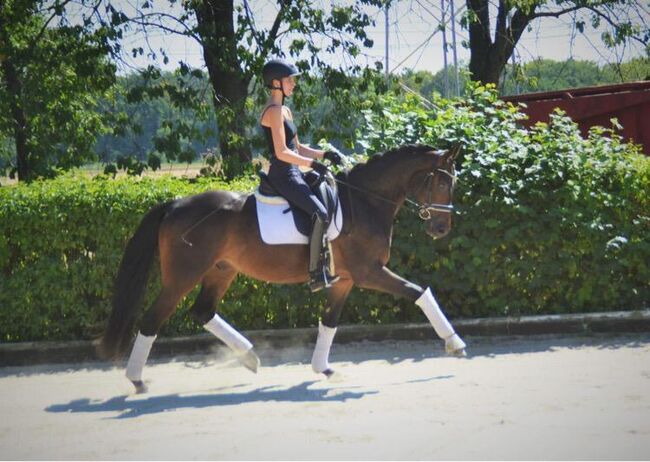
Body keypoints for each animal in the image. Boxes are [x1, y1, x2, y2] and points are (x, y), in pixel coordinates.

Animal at [97, 144, 466, 394]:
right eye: (442, 183)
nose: (442, 229)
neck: (365, 201)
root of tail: (175, 204)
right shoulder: (369, 272)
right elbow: (420, 293)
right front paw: (455, 343)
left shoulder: (345, 279)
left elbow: (329, 321)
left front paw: (323, 368)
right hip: (183, 276)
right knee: (152, 320)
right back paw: (137, 380)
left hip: (221, 270)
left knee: (203, 311)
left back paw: (249, 357)